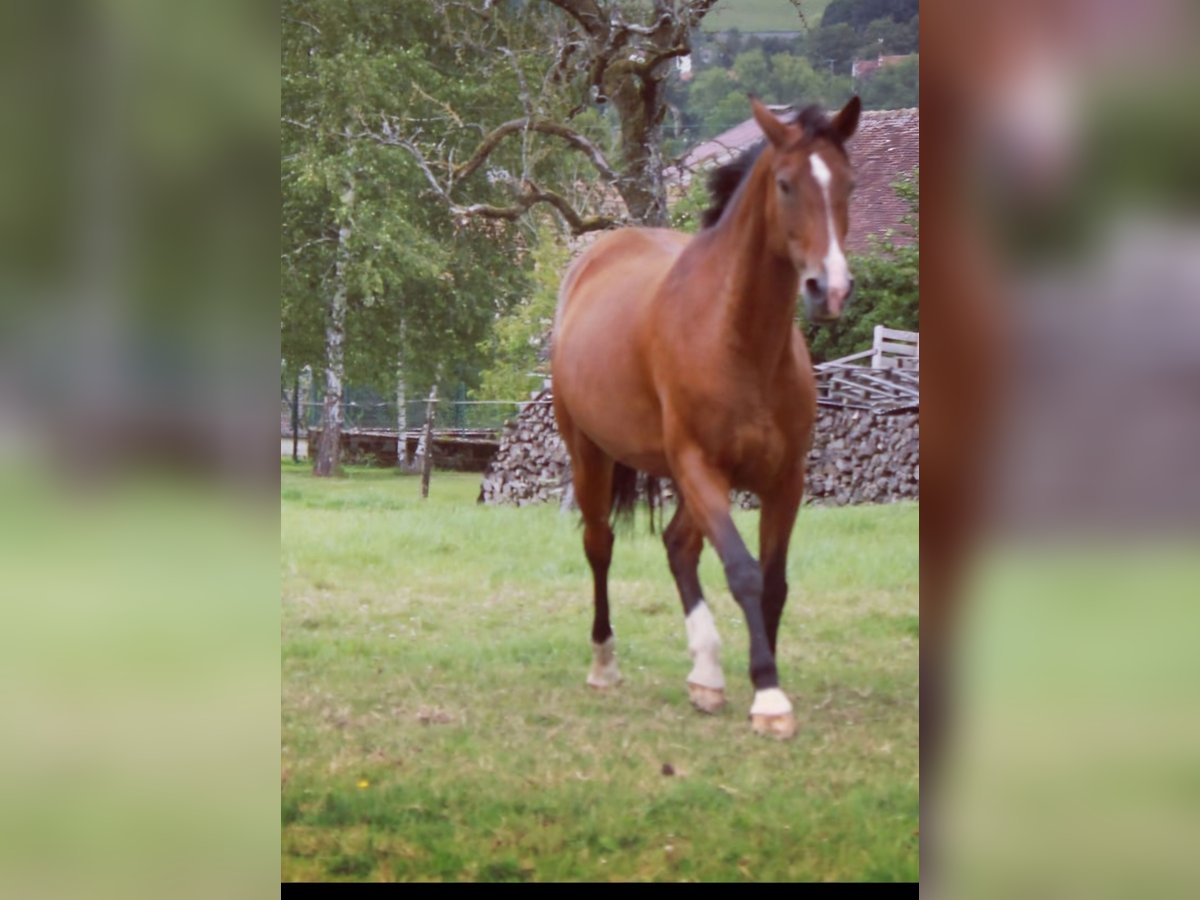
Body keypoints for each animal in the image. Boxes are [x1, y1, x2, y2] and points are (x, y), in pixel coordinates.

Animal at [552, 95, 864, 739]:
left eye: (848, 183)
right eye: (785, 184)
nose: (829, 289)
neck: (736, 339)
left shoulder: (784, 481)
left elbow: (773, 581)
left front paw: (761, 681)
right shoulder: (701, 468)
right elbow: (743, 571)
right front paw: (768, 695)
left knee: (678, 546)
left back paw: (706, 674)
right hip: (592, 455)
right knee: (600, 544)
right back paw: (605, 664)